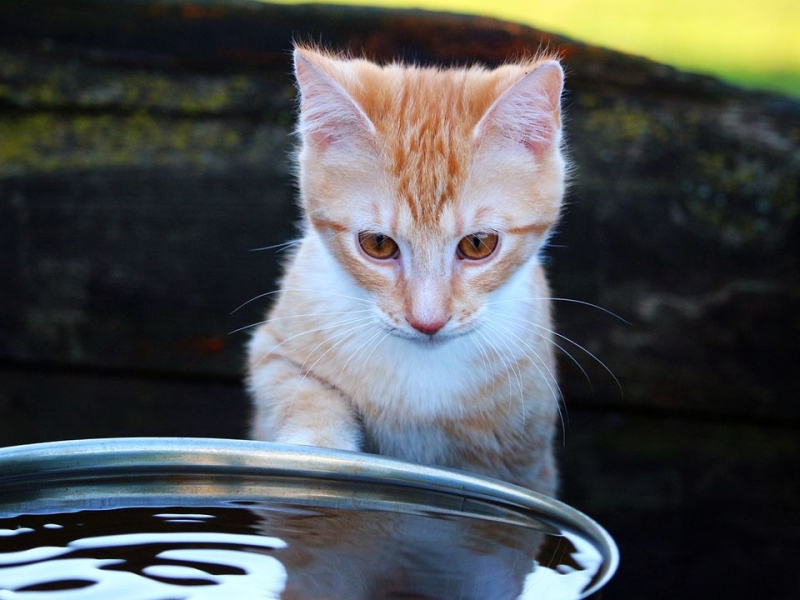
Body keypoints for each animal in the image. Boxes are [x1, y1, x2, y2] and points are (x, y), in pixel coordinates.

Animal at [247, 44, 564, 496]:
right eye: (378, 244)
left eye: (478, 244)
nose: (427, 321)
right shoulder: (275, 350)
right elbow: (303, 395)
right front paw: (318, 453)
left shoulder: (527, 456)